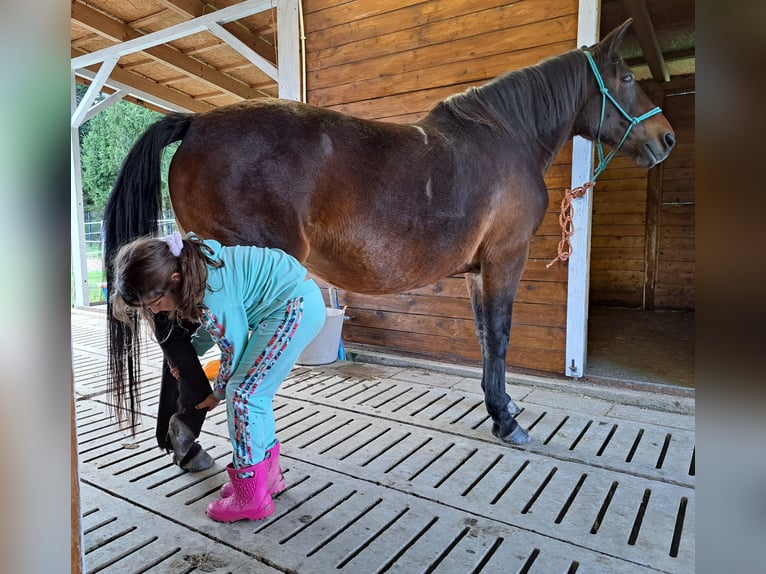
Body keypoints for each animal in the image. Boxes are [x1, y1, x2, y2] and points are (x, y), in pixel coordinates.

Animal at [103, 20, 680, 448]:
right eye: (628, 79)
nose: (667, 138)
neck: (506, 137)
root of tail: (196, 123)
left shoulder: (477, 270)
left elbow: (483, 335)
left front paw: (501, 405)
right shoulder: (504, 258)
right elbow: (499, 335)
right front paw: (507, 418)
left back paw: (184, 438)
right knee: (178, 336)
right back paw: (189, 429)